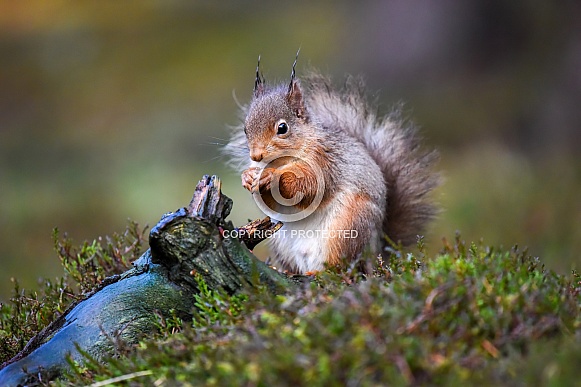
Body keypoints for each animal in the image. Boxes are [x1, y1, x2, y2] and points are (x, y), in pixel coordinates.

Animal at [224, 56, 438, 274]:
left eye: (282, 128)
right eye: (246, 129)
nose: (256, 155)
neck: (283, 160)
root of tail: (376, 251)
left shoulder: (325, 162)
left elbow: (309, 186)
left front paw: (272, 176)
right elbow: (272, 202)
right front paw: (248, 176)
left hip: (347, 228)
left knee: (340, 266)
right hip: (281, 241)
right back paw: (288, 271)